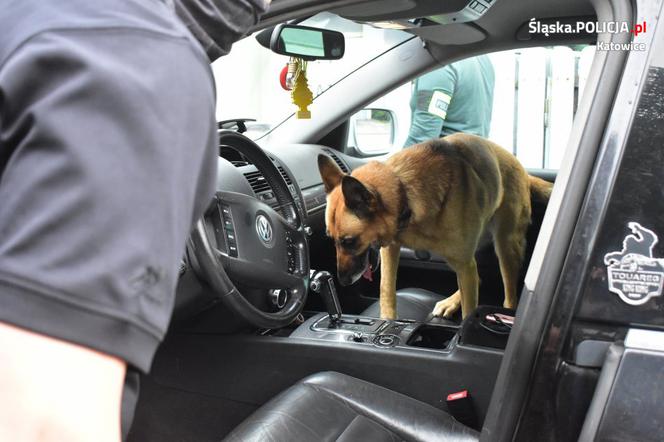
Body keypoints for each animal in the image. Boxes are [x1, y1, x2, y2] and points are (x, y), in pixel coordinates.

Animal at [320, 133, 552, 320]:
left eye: (349, 241)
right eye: (330, 238)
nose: (342, 281)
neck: (404, 192)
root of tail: (521, 167)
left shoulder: (463, 262)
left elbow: (469, 311)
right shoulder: (391, 248)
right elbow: (386, 289)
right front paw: (387, 321)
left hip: (505, 246)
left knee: (506, 295)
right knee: (475, 275)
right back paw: (452, 301)